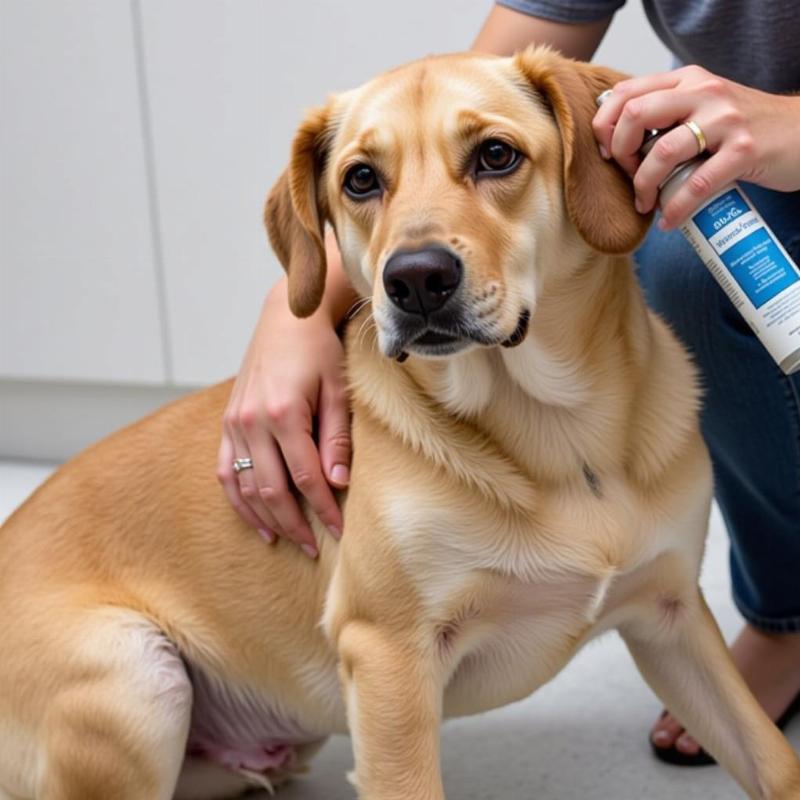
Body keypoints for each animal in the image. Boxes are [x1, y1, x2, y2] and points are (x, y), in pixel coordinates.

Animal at [1, 45, 800, 800]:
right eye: (360, 179)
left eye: (497, 155)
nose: (415, 280)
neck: (559, 437)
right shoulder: (388, 655)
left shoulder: (673, 617)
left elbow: (773, 759)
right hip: (135, 680)